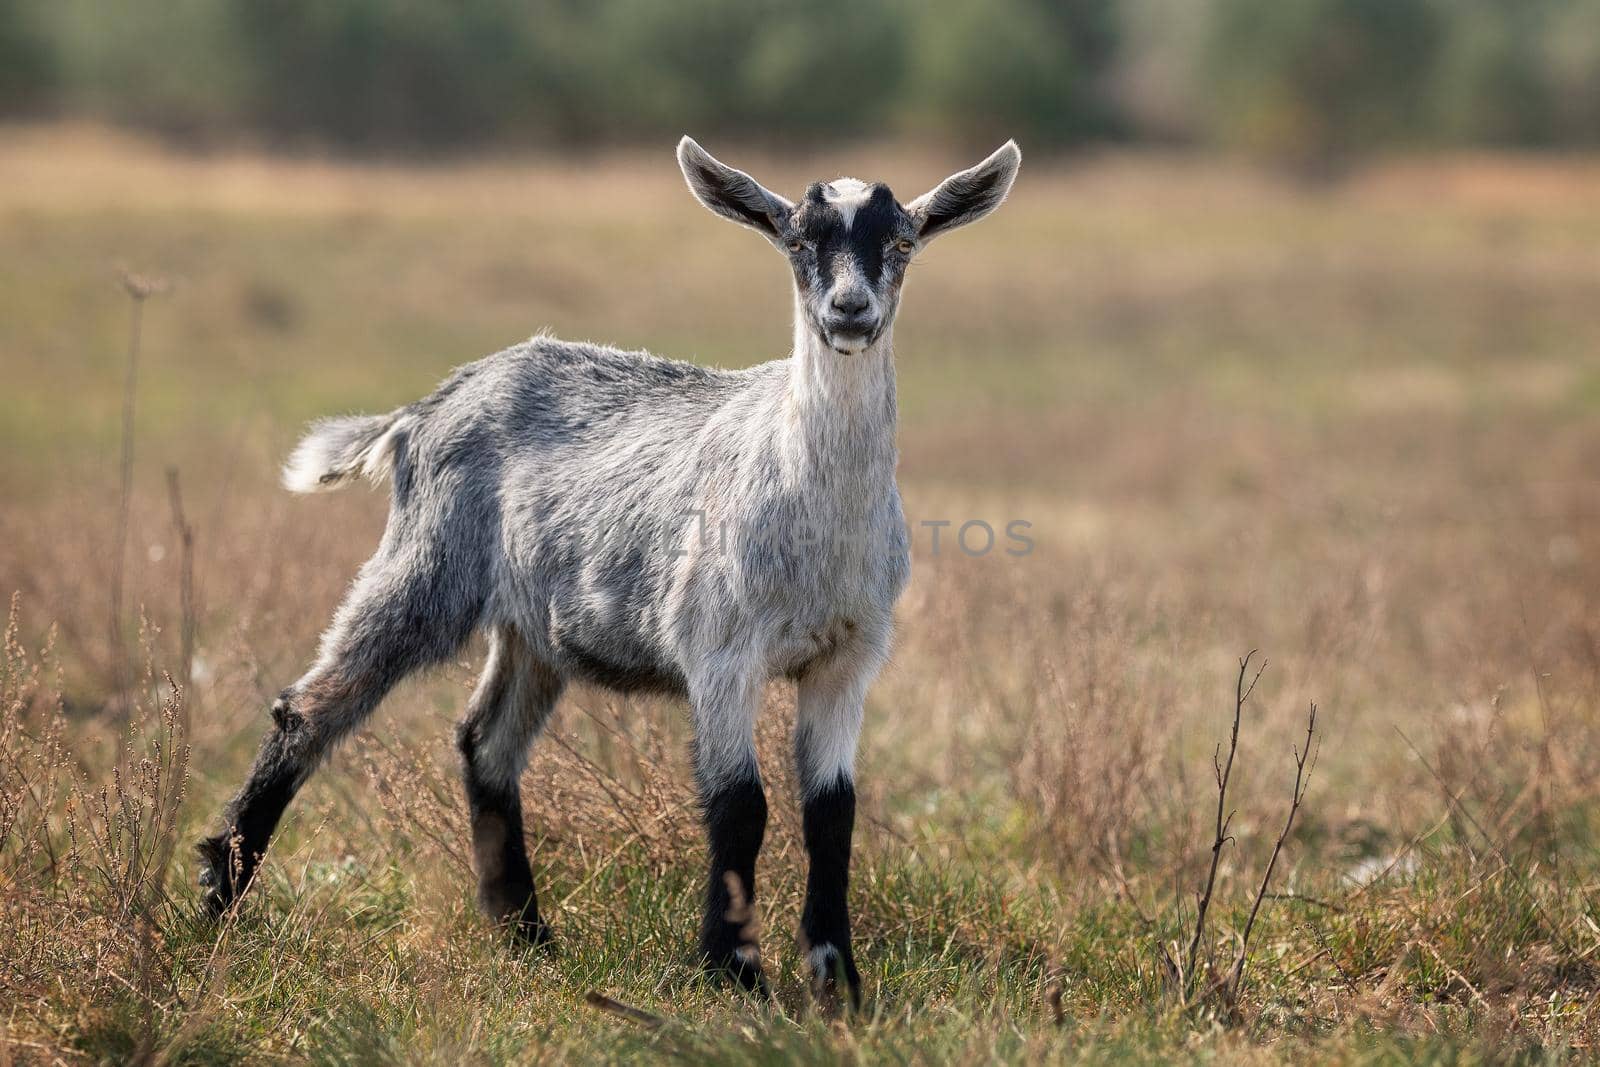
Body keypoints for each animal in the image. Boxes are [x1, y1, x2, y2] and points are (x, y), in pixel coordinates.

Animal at [200, 135, 1017, 1011]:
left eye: (901, 243)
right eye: (798, 242)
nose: (850, 311)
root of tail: (424, 409)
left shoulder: (848, 656)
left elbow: (831, 813)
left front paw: (839, 981)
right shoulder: (719, 647)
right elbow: (740, 804)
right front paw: (733, 972)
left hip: (530, 629)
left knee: (485, 742)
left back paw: (525, 935)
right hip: (427, 565)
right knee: (311, 707)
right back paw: (219, 896)